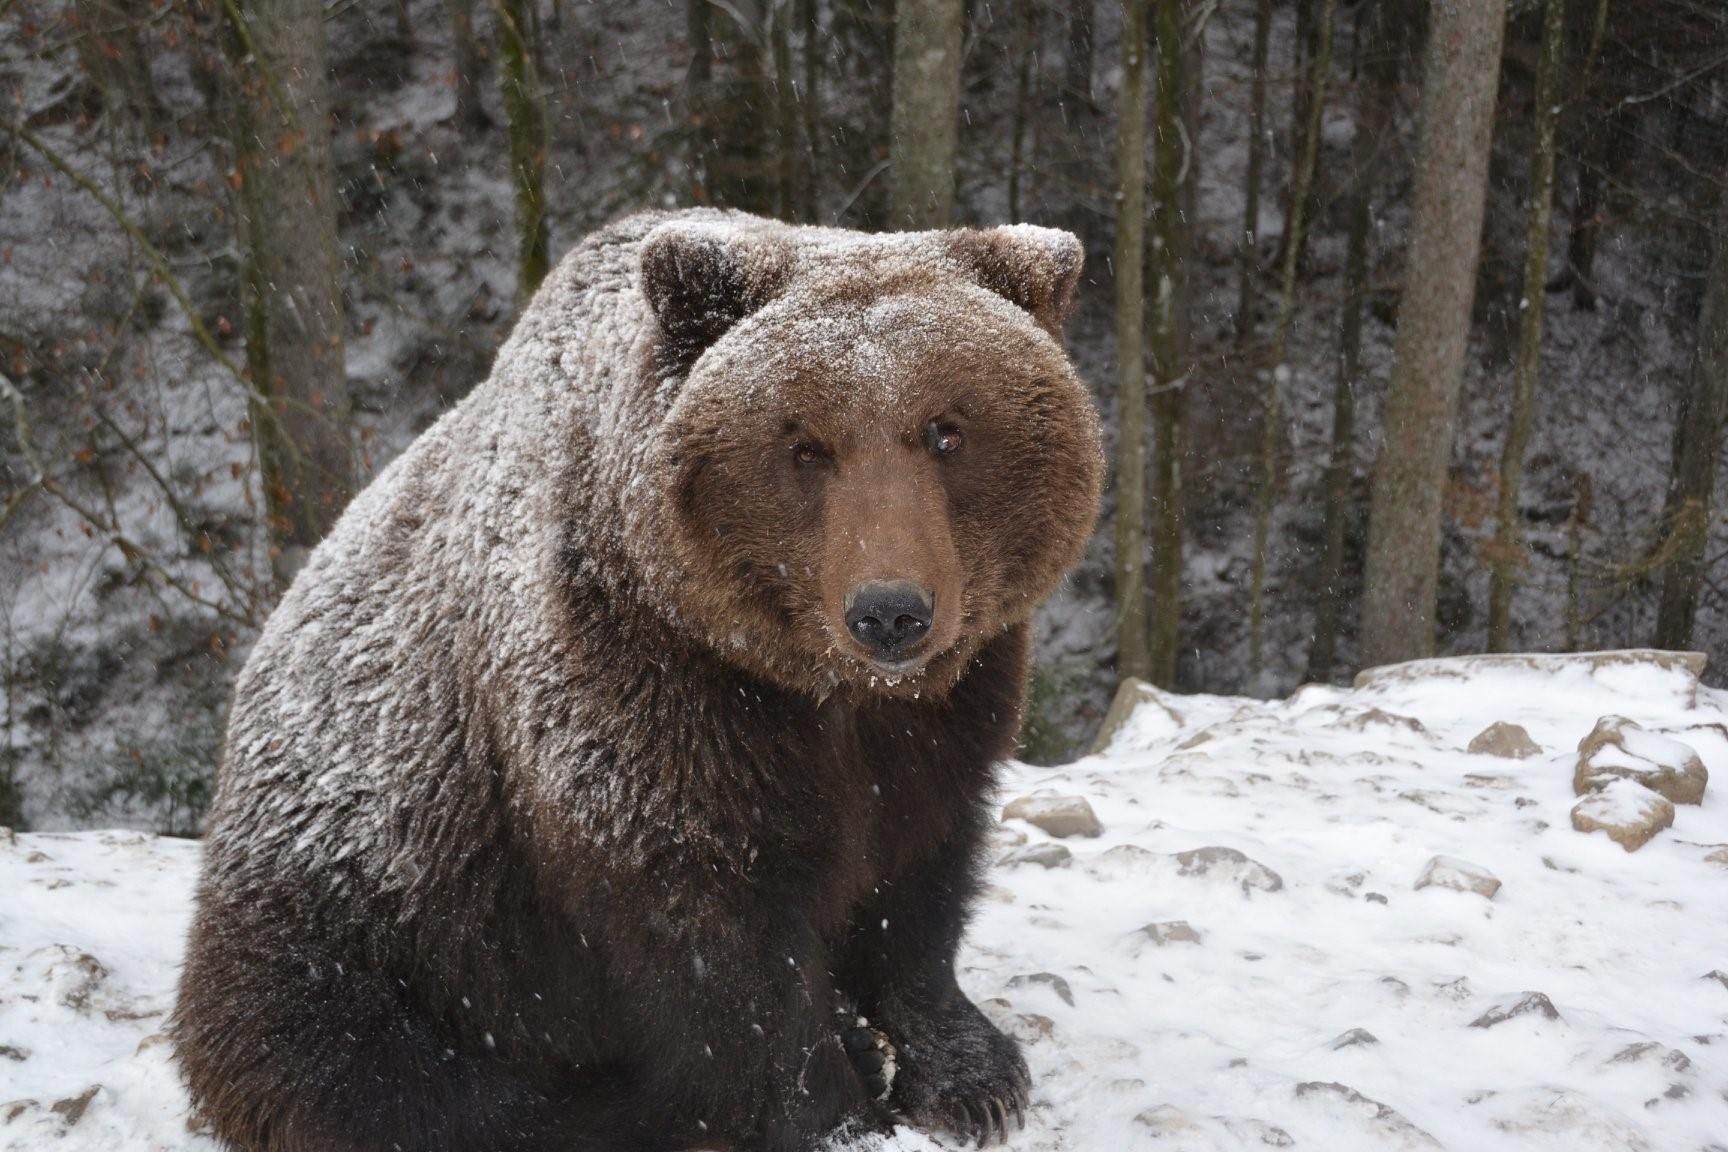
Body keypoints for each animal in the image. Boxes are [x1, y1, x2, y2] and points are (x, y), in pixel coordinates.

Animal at [168, 211, 1099, 1152]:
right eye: (804, 444)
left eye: (948, 429)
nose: (889, 612)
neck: (821, 688)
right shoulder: (648, 696)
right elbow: (723, 944)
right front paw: (840, 1106)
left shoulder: (950, 703)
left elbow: (920, 866)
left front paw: (970, 1072)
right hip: (366, 900)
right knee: (375, 1071)